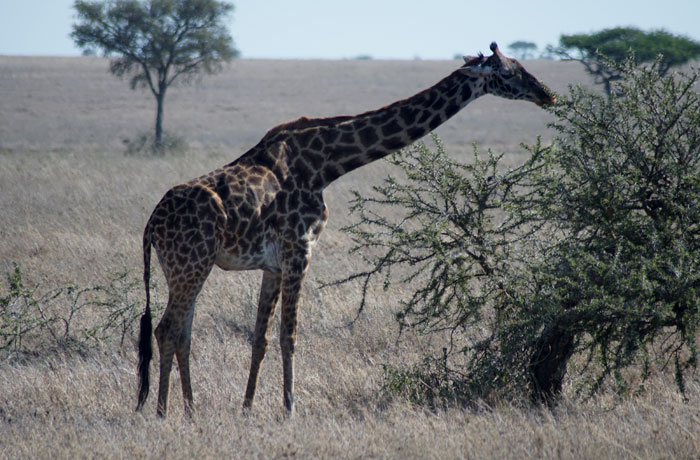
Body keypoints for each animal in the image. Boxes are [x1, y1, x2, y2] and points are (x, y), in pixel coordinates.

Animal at [134, 43, 556, 416]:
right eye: (508, 72)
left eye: (519, 67)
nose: (547, 93)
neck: (325, 164)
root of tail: (151, 223)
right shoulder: (299, 249)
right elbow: (289, 335)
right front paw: (289, 409)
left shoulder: (274, 264)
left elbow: (261, 338)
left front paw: (248, 408)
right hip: (192, 265)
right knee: (166, 330)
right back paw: (162, 412)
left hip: (186, 268)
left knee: (182, 333)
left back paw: (190, 410)